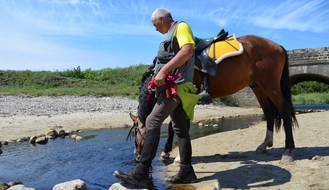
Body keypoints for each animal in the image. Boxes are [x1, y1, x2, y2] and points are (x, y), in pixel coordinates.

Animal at [127, 34, 298, 163]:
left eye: (135, 133)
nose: (137, 157)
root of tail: (277, 46)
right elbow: (173, 125)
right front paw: (168, 151)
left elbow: (176, 125)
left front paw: (176, 155)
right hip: (258, 87)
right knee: (269, 112)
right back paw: (264, 145)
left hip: (270, 85)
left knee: (284, 109)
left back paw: (288, 151)